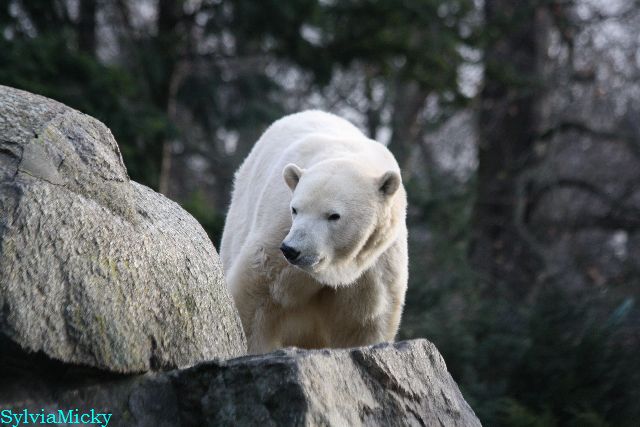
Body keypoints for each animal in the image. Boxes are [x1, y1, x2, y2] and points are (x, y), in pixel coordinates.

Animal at [220, 110, 408, 354]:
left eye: (333, 215)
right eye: (295, 209)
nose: (291, 250)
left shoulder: (376, 263)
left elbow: (363, 322)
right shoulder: (278, 231)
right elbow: (255, 295)